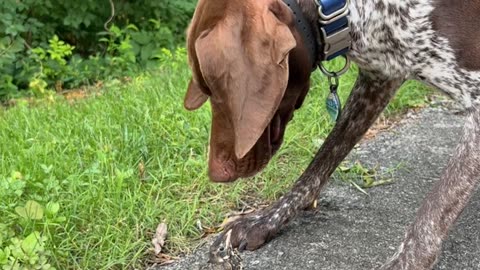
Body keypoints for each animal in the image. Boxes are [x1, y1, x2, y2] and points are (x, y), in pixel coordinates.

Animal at [184, 0, 480, 268]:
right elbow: (322, 160)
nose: (216, 175)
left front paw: (406, 261)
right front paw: (265, 220)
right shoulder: (378, 78)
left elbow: (437, 207)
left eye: (218, 88)